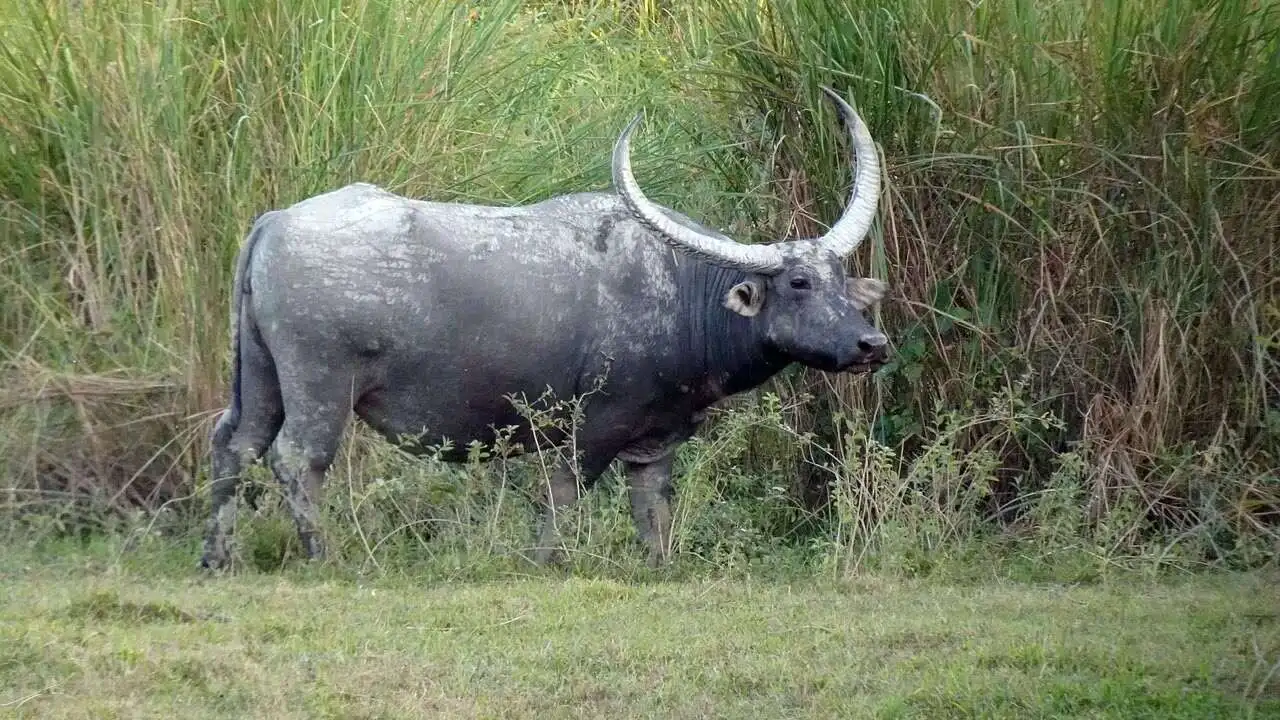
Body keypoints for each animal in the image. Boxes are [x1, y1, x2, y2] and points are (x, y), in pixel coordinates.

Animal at [202, 87, 890, 566]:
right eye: (797, 283)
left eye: (840, 277)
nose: (872, 343)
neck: (681, 290)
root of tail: (274, 222)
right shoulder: (588, 431)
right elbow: (562, 498)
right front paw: (543, 562)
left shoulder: (654, 444)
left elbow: (654, 514)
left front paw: (661, 566)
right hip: (320, 384)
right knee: (297, 459)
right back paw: (327, 558)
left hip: (258, 375)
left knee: (235, 444)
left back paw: (218, 559)